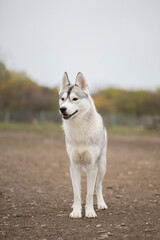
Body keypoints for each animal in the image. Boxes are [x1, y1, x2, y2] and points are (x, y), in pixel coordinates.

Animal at [58, 71, 107, 218]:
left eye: (74, 99)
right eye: (63, 99)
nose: (62, 109)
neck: (79, 128)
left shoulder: (92, 166)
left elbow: (90, 193)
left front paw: (90, 211)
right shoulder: (74, 166)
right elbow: (77, 192)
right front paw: (76, 211)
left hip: (101, 167)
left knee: (98, 186)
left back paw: (101, 204)